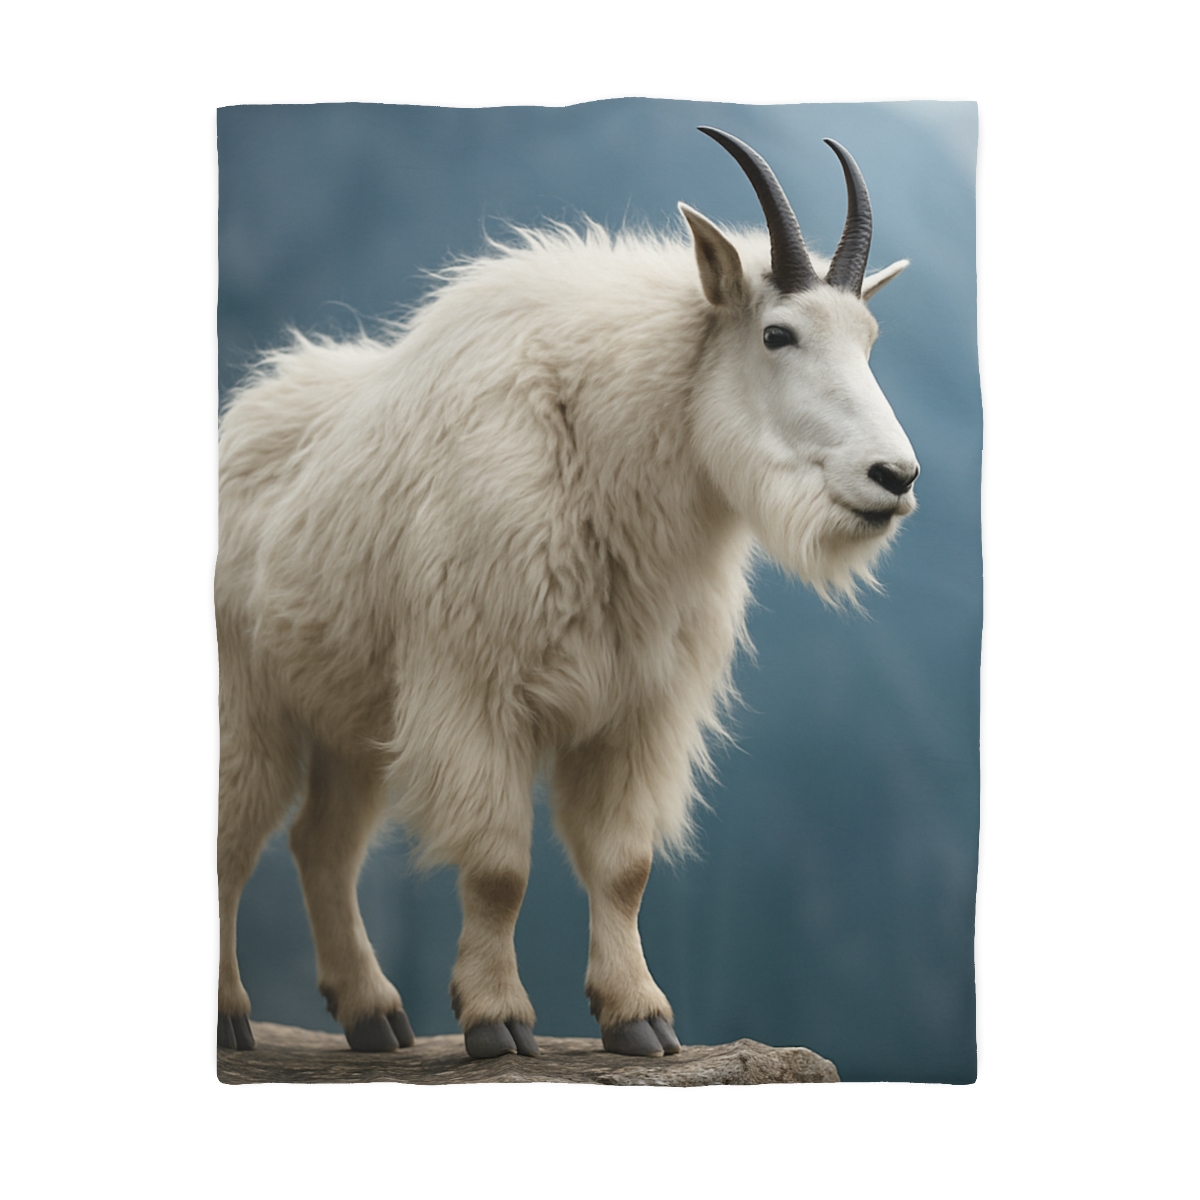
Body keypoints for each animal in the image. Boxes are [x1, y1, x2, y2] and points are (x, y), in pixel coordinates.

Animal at [216, 127, 919, 1058]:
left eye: (870, 338)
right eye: (778, 334)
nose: (895, 477)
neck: (597, 445)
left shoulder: (637, 711)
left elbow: (624, 868)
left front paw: (640, 1018)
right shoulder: (476, 694)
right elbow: (499, 869)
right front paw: (497, 1020)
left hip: (348, 722)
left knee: (320, 845)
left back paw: (374, 1015)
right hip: (247, 699)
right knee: (231, 840)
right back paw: (232, 1014)